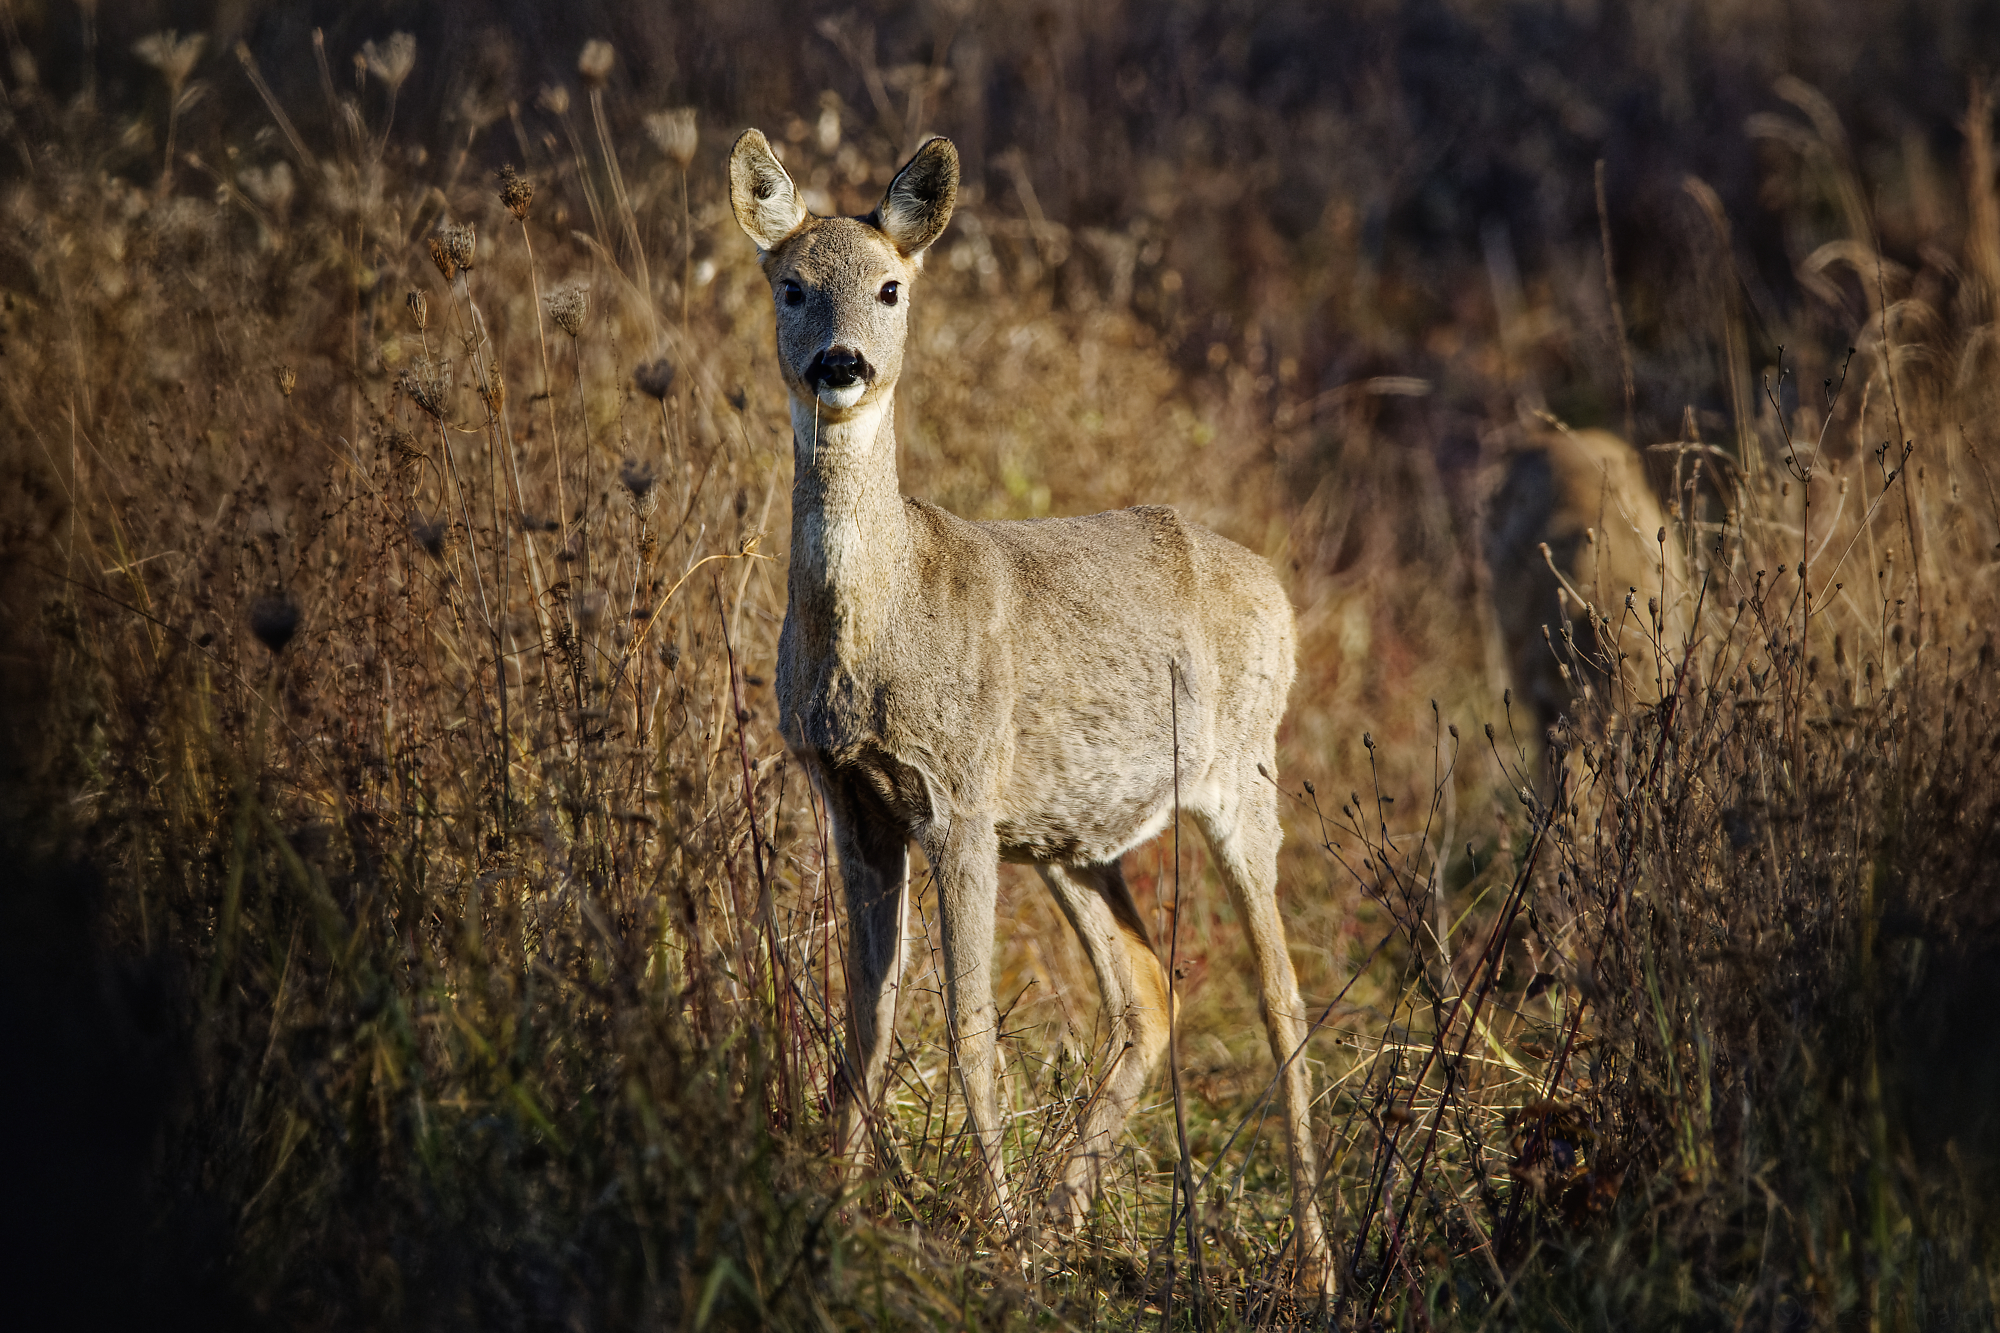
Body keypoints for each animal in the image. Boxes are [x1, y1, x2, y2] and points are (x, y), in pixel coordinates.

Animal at [732, 130, 1328, 1280]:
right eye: (790, 286)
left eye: (890, 287)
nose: (843, 364)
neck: (878, 625)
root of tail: (1278, 590)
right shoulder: (854, 800)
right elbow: (866, 1019)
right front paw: (833, 1205)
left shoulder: (958, 793)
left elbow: (968, 1028)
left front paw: (994, 1236)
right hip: (1070, 835)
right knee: (1147, 995)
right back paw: (1065, 1214)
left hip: (1243, 774)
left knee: (1282, 997)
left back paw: (1317, 1267)